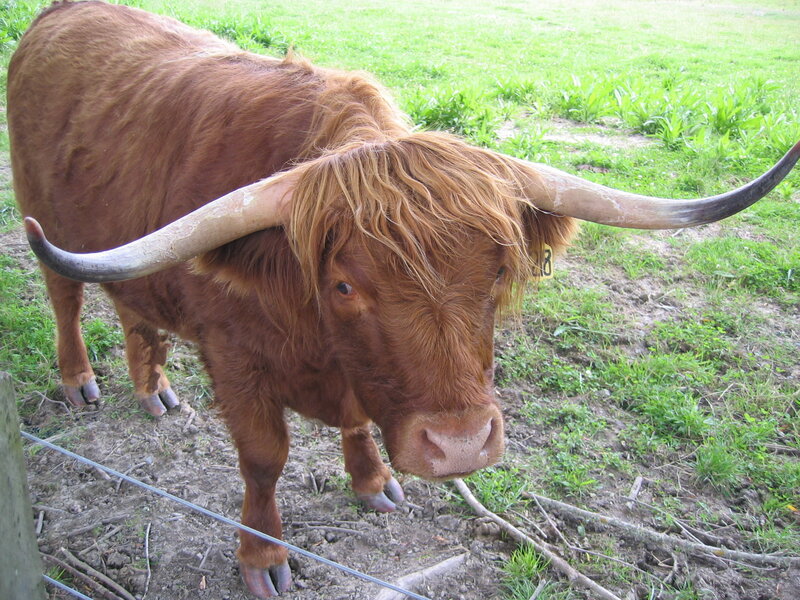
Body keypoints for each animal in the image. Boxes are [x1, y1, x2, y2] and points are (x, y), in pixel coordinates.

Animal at [8, 1, 799, 597]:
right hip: (45, 218)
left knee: (135, 311)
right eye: (344, 284)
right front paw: (264, 558)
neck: (319, 343)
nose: (459, 446)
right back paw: (80, 381)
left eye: (498, 273)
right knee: (66, 298)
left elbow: (361, 421)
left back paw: (154, 390)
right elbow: (264, 460)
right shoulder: (238, 364)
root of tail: (62, 12)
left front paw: (372, 480)